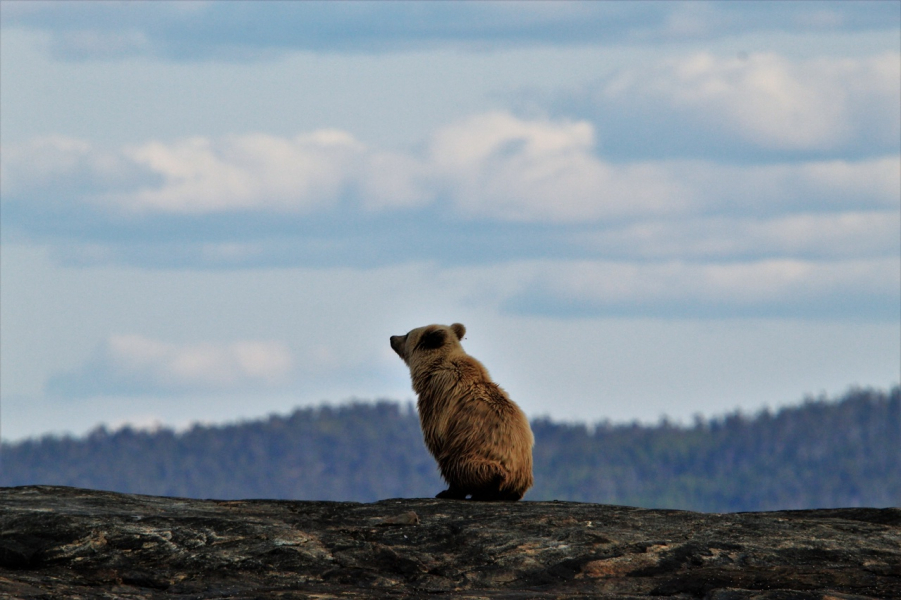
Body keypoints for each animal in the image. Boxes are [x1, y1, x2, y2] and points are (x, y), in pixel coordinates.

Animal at [390, 323, 533, 501]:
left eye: (408, 334)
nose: (392, 338)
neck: (431, 369)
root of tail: (515, 480)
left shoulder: (437, 402)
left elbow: (437, 439)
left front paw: (448, 490)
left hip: (475, 455)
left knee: (456, 464)